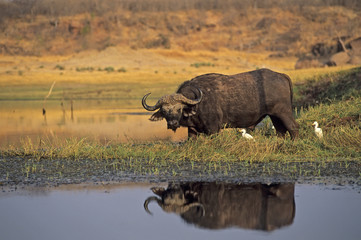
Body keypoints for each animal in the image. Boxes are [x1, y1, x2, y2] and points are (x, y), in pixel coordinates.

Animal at [143, 68, 298, 139]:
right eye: (164, 111)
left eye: (179, 108)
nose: (172, 124)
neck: (198, 104)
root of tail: (281, 75)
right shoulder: (192, 130)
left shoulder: (214, 129)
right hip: (274, 115)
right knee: (280, 130)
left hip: (284, 112)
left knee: (293, 127)